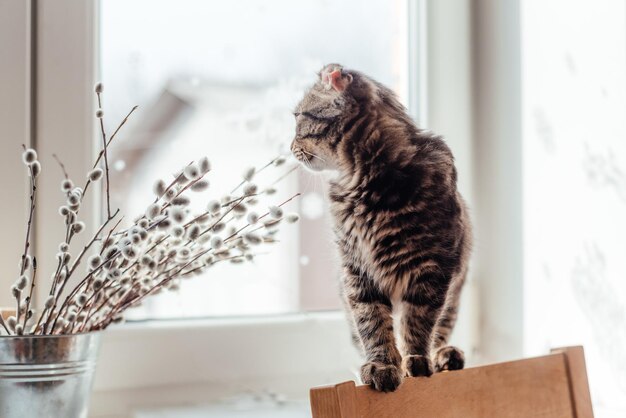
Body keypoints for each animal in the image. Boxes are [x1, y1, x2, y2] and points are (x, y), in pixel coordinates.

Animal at [290, 62, 470, 392]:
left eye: (298, 117)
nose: (290, 146)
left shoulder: (433, 269)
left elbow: (418, 323)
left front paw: (417, 361)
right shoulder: (357, 271)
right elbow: (372, 324)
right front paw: (383, 365)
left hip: (455, 289)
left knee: (441, 330)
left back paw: (443, 356)